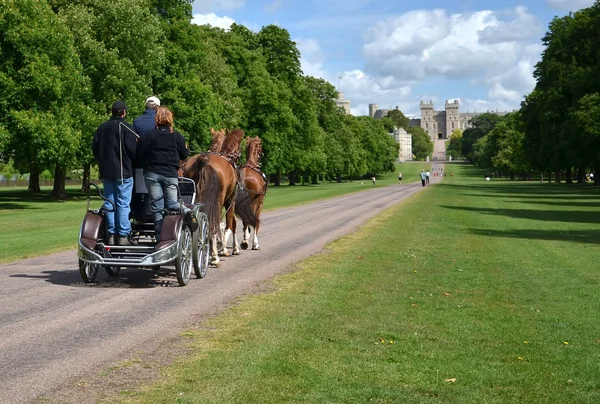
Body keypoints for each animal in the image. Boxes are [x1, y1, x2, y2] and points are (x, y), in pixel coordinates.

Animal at [182, 127, 243, 266]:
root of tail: (204, 160)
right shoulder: (230, 201)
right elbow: (229, 225)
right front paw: (225, 248)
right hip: (218, 201)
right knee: (213, 224)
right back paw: (215, 256)